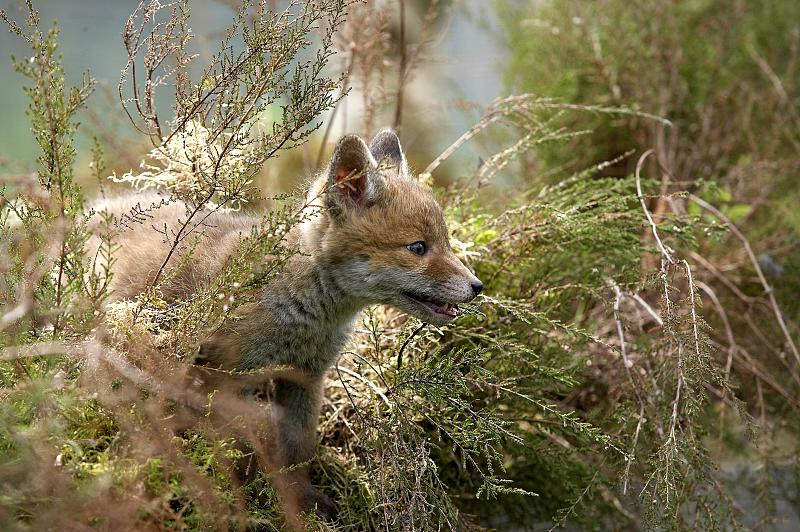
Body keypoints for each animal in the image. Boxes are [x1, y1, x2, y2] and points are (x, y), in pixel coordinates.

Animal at [94, 130, 482, 524]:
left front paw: (300, 503)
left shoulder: (306, 379)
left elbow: (297, 452)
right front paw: (244, 501)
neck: (307, 318)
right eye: (418, 247)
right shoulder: (225, 376)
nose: (477, 286)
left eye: (445, 242)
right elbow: (238, 449)